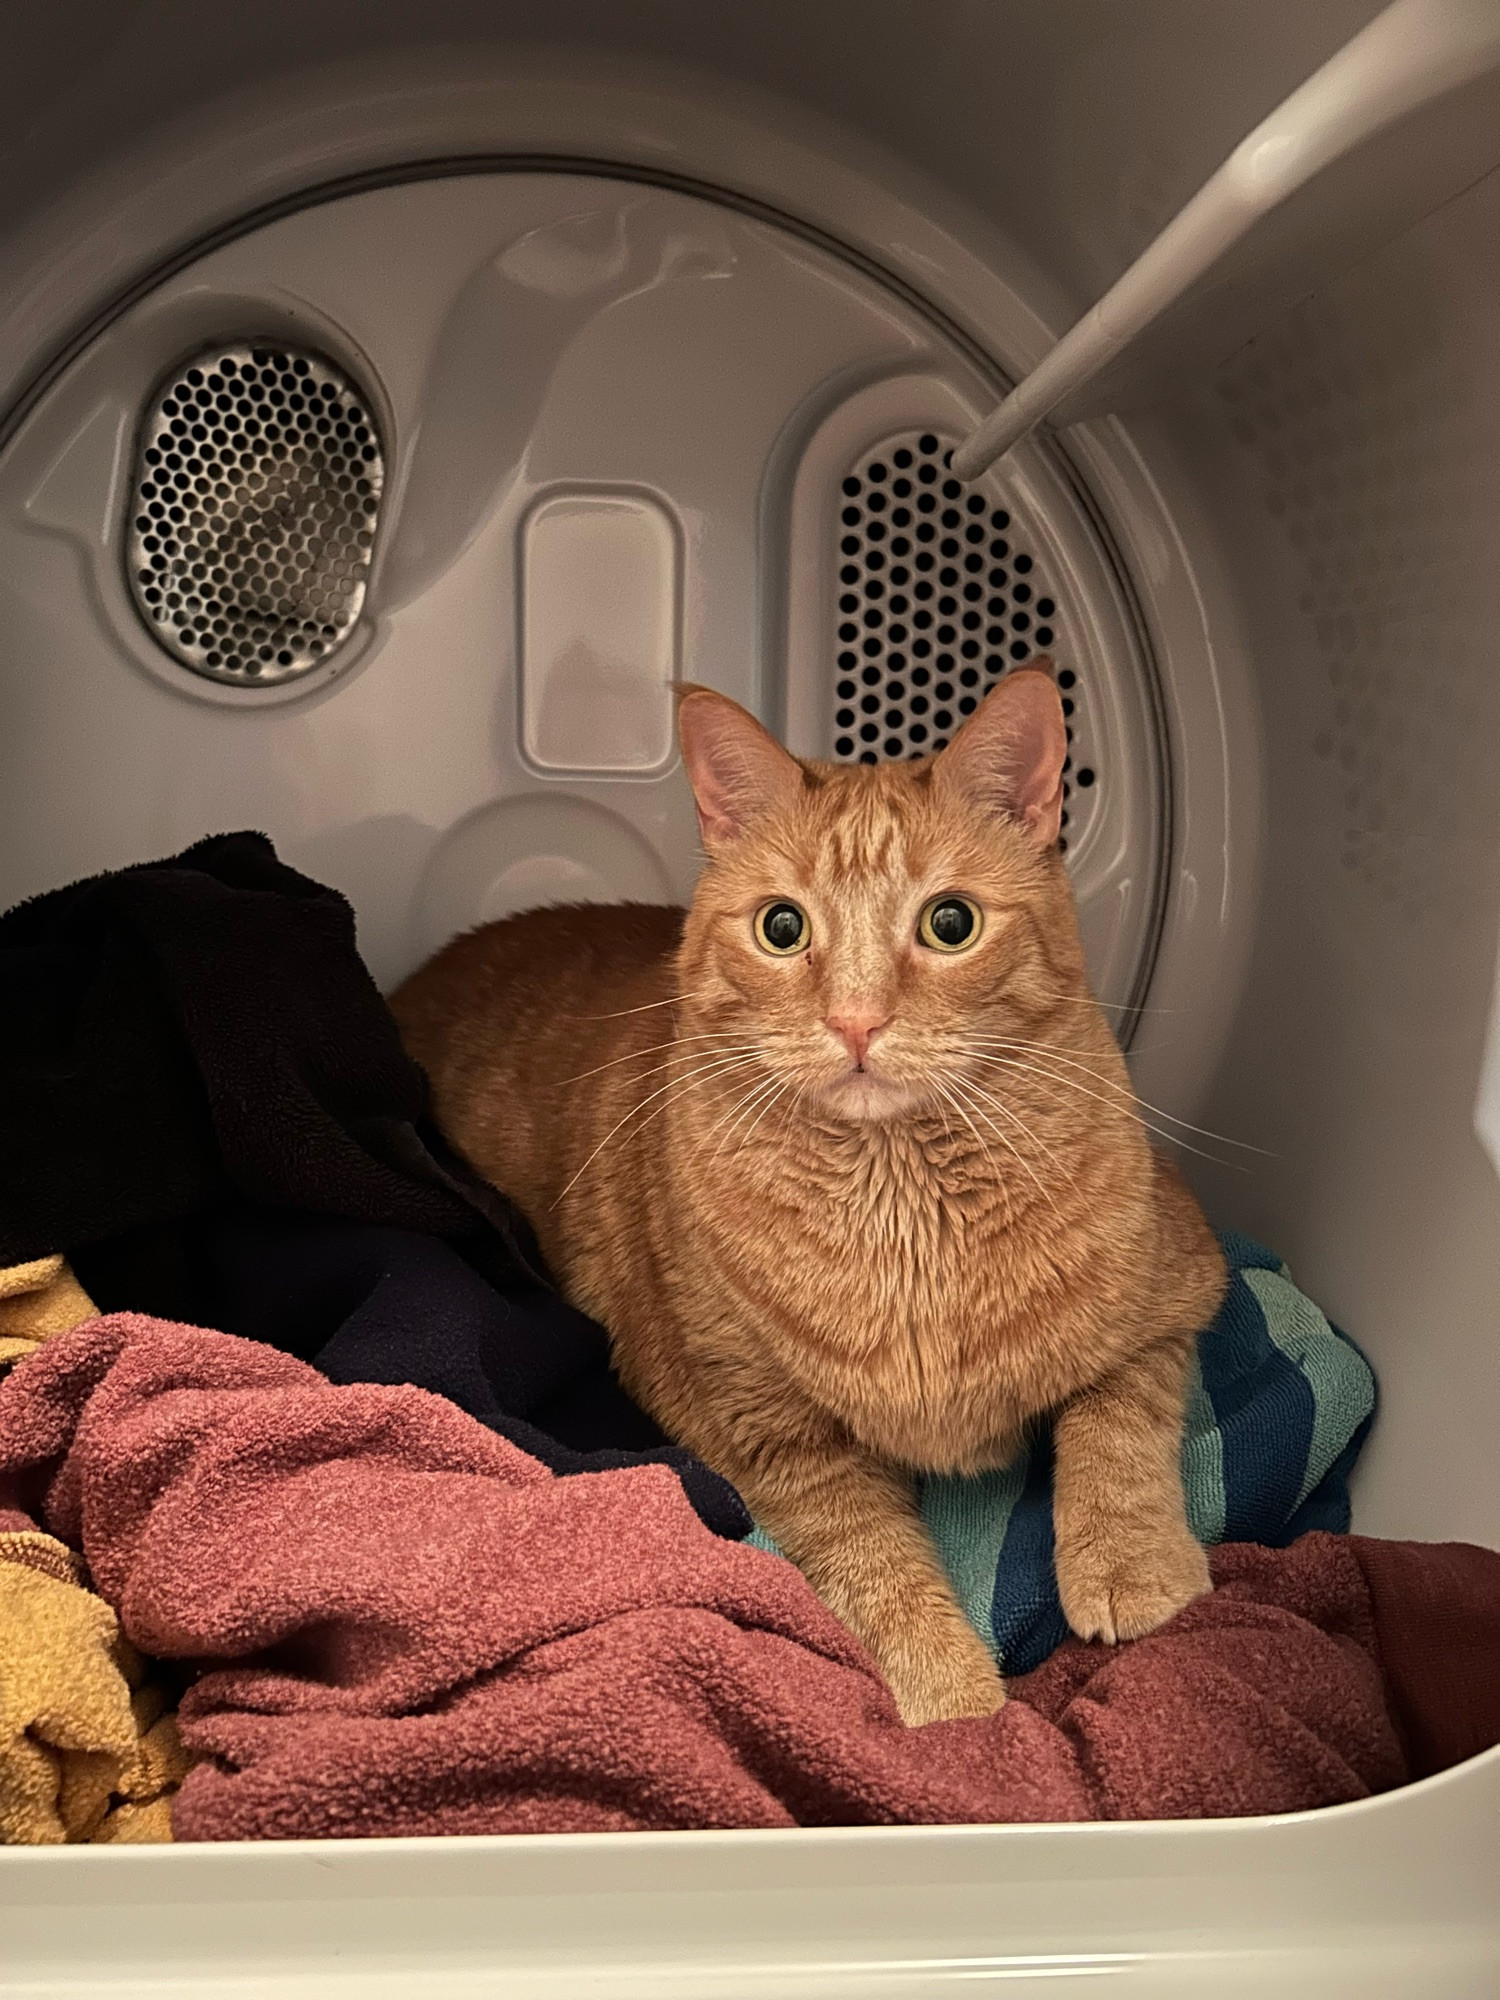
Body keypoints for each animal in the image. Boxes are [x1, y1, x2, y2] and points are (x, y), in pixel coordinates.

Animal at [396, 668, 1232, 1720]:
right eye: (782, 927)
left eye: (950, 923)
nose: (856, 1022)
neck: (907, 1210)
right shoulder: (767, 1435)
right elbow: (872, 1564)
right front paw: (961, 1706)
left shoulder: (1182, 1289)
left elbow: (1118, 1424)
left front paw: (1132, 1566)